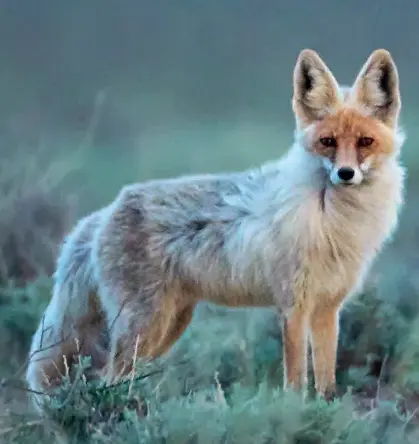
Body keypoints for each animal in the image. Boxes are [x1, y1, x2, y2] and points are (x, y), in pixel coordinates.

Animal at [26, 46, 406, 412]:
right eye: (328, 142)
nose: (345, 174)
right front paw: (295, 415)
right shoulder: (293, 306)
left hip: (169, 326)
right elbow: (296, 382)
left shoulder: (327, 308)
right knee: (107, 381)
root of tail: (104, 212)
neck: (334, 219)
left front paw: (325, 414)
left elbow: (327, 385)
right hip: (145, 326)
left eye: (365, 142)